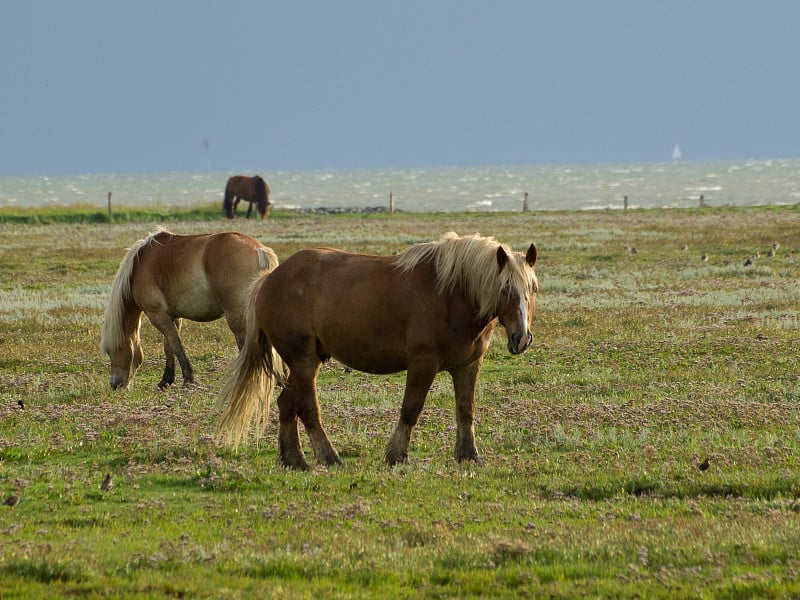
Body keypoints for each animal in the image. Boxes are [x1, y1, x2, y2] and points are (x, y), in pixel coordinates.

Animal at [100, 229, 278, 390]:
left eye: (110, 351)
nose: (114, 385)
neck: (139, 265)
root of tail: (259, 250)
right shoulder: (172, 316)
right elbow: (169, 346)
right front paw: (166, 380)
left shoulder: (157, 316)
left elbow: (176, 344)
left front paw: (187, 379)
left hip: (236, 318)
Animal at [217, 232, 536, 472]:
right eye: (505, 289)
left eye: (532, 289)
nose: (521, 339)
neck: (451, 295)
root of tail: (269, 279)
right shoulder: (423, 364)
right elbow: (411, 409)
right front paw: (396, 455)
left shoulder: (468, 365)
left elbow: (465, 409)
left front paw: (469, 455)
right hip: (302, 361)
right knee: (307, 409)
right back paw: (329, 457)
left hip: (303, 363)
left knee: (286, 405)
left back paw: (294, 459)